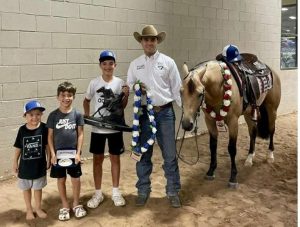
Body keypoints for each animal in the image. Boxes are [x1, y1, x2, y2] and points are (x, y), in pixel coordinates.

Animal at [180, 59, 282, 187]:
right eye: (180, 92)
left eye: (200, 94)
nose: (186, 124)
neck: (219, 87)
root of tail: (271, 71)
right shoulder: (210, 121)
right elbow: (212, 146)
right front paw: (211, 171)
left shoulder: (233, 122)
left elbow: (232, 148)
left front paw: (233, 177)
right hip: (249, 113)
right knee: (253, 133)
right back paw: (250, 158)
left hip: (272, 109)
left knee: (272, 131)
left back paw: (270, 155)